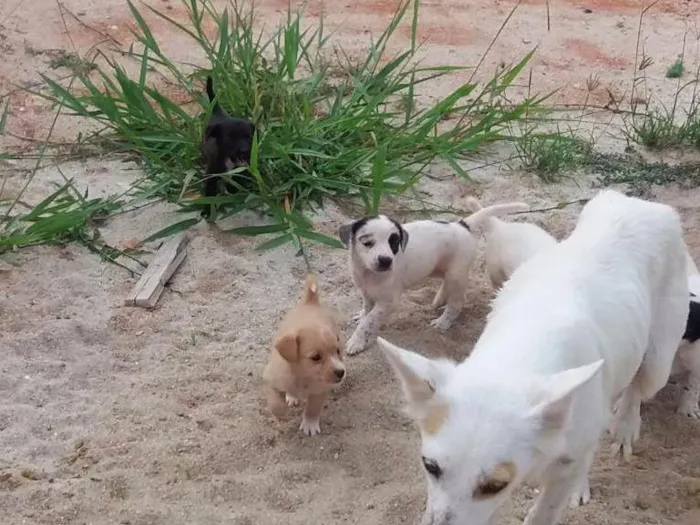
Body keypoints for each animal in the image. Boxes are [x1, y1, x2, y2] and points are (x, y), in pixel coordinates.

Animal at [201, 75, 256, 217]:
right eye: (229, 137)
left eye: (249, 137)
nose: (244, 151)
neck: (229, 159)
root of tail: (216, 110)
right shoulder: (211, 175)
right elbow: (209, 193)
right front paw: (207, 210)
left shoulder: (239, 169)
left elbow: (236, 178)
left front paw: (232, 190)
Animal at [262, 272, 344, 436]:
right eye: (316, 357)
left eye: (336, 351)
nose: (341, 372)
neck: (302, 377)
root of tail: (311, 303)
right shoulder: (270, 380)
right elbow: (275, 404)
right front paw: (281, 412)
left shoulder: (319, 390)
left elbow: (313, 408)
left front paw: (310, 425)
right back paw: (291, 396)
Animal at [340, 201, 532, 356]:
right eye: (367, 243)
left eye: (394, 243)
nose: (386, 261)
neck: (368, 273)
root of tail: (463, 225)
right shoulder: (366, 293)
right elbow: (366, 311)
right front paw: (361, 317)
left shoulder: (389, 302)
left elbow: (369, 321)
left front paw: (356, 342)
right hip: (439, 268)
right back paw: (439, 300)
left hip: (456, 274)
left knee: (456, 303)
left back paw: (443, 322)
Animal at [378, 190, 688, 524]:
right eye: (430, 466)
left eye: (495, 485)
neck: (517, 357)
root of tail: (638, 202)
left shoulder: (563, 464)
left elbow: (545, 510)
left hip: (659, 360)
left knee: (637, 389)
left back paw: (625, 426)